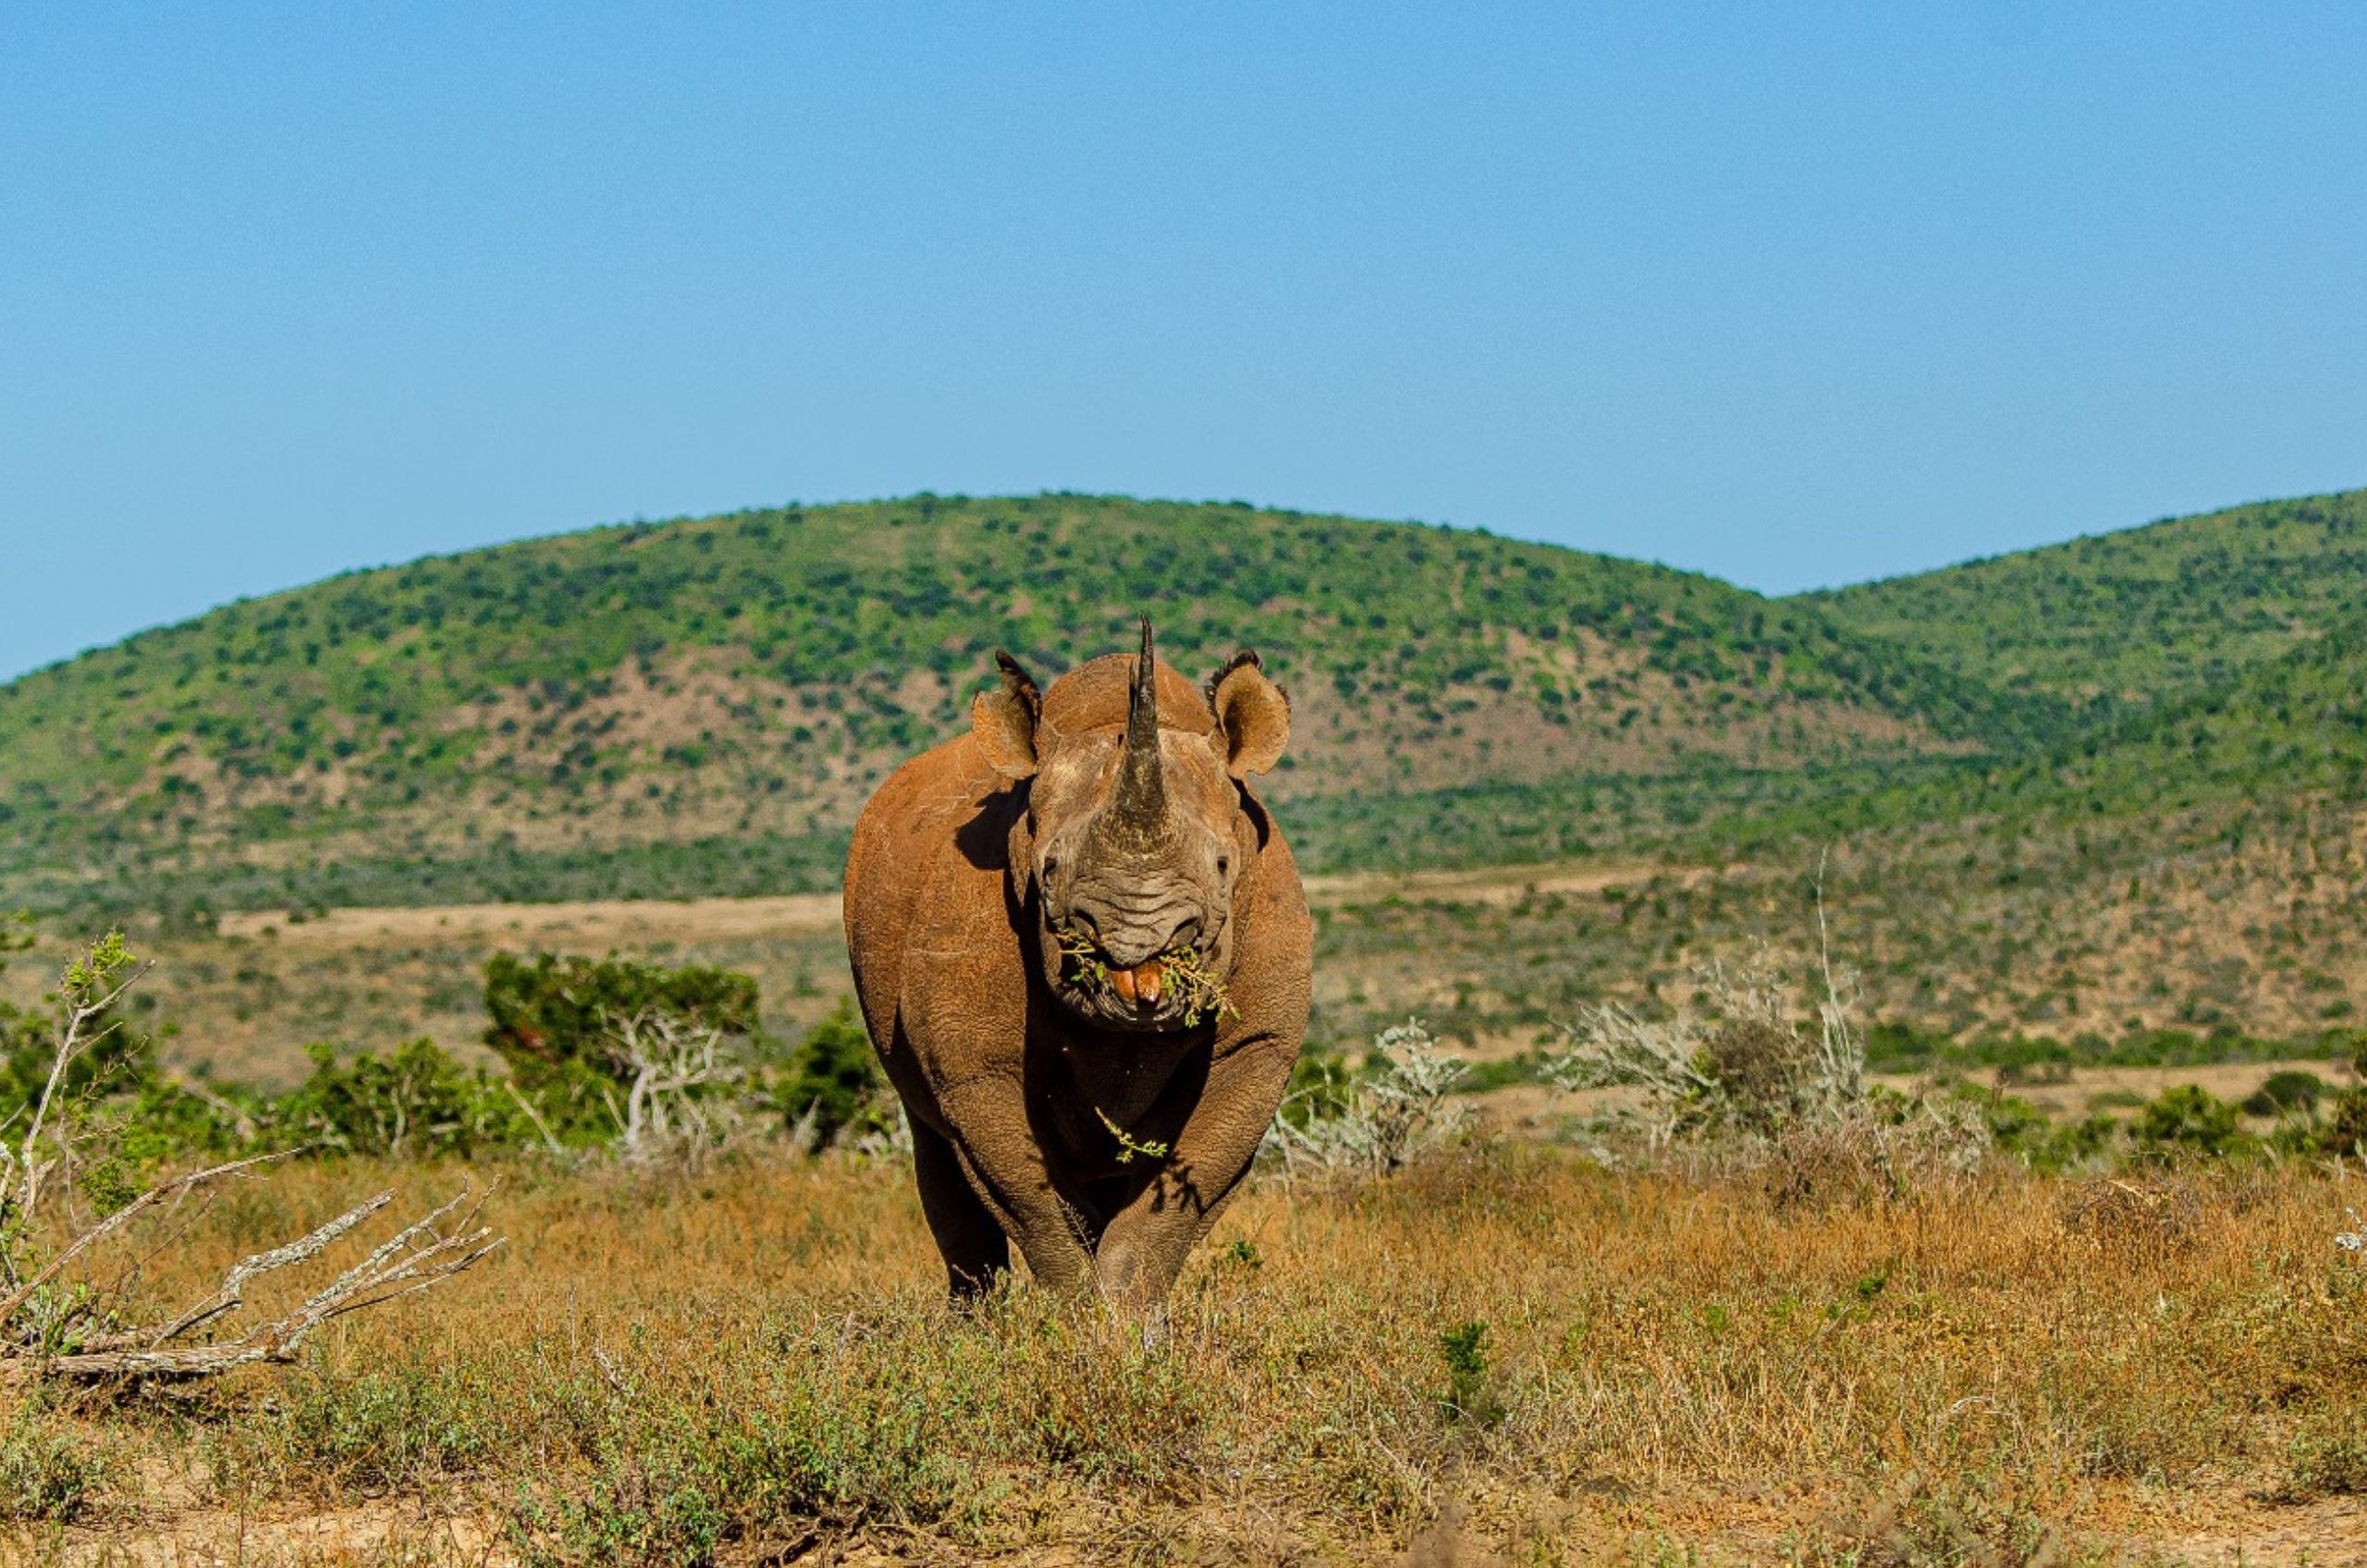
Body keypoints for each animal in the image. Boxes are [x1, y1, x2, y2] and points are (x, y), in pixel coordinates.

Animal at [843, 620, 1311, 1314]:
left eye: (1225, 866)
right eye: (1049, 869)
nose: (1137, 945)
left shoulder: (1260, 1044)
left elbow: (1168, 1212)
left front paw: (1130, 1323)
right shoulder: (972, 1064)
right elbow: (1036, 1205)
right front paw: (1080, 1320)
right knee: (936, 1151)